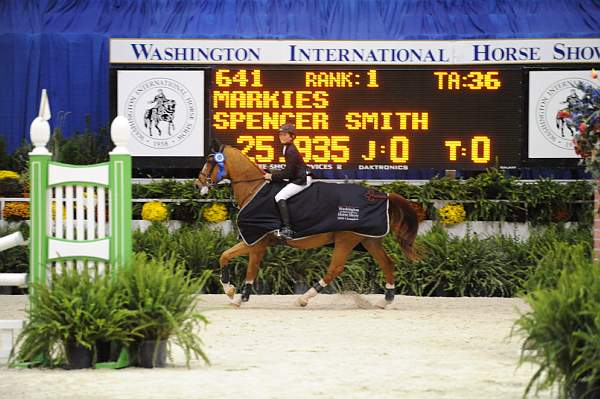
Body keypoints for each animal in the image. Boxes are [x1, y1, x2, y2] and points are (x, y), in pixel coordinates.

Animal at [195, 145, 420, 310]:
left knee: (335, 269)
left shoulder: (256, 241)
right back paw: (385, 300)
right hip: (368, 239)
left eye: (210, 162)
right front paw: (234, 293)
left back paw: (303, 298)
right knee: (387, 263)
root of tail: (380, 195)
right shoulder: (254, 242)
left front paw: (237, 295)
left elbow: (243, 266)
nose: (198, 184)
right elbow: (227, 258)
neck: (254, 189)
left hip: (346, 239)